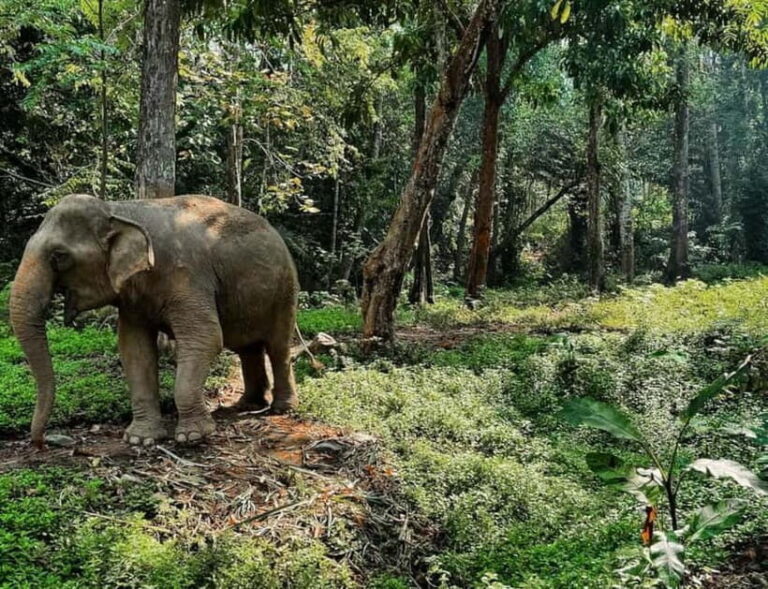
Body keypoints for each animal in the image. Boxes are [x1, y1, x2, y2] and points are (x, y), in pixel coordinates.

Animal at [10, 194, 299, 448]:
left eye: (59, 256)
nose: (41, 443)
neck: (120, 209)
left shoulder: (188, 275)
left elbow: (205, 338)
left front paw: (193, 437)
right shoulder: (133, 298)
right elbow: (134, 349)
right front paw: (140, 439)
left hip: (285, 289)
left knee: (278, 346)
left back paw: (281, 408)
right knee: (247, 348)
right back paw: (247, 404)